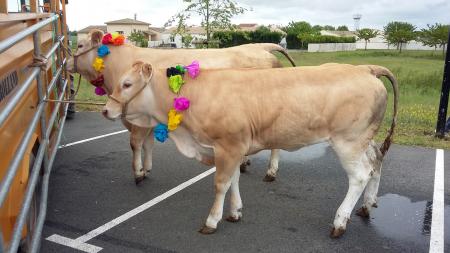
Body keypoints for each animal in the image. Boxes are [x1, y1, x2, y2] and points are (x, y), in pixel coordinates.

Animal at [67, 29, 296, 184]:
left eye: (80, 46)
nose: (67, 63)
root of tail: (259, 47)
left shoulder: (137, 120)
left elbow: (136, 143)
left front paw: (138, 173)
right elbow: (148, 144)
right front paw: (147, 169)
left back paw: (271, 171)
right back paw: (245, 163)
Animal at [103, 61, 398, 237]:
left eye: (127, 84)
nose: (106, 110)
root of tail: (365, 68)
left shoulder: (228, 145)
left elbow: (221, 183)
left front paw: (212, 221)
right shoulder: (232, 148)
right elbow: (233, 179)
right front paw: (235, 212)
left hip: (348, 142)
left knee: (359, 176)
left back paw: (339, 222)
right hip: (364, 140)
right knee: (376, 162)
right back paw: (367, 206)